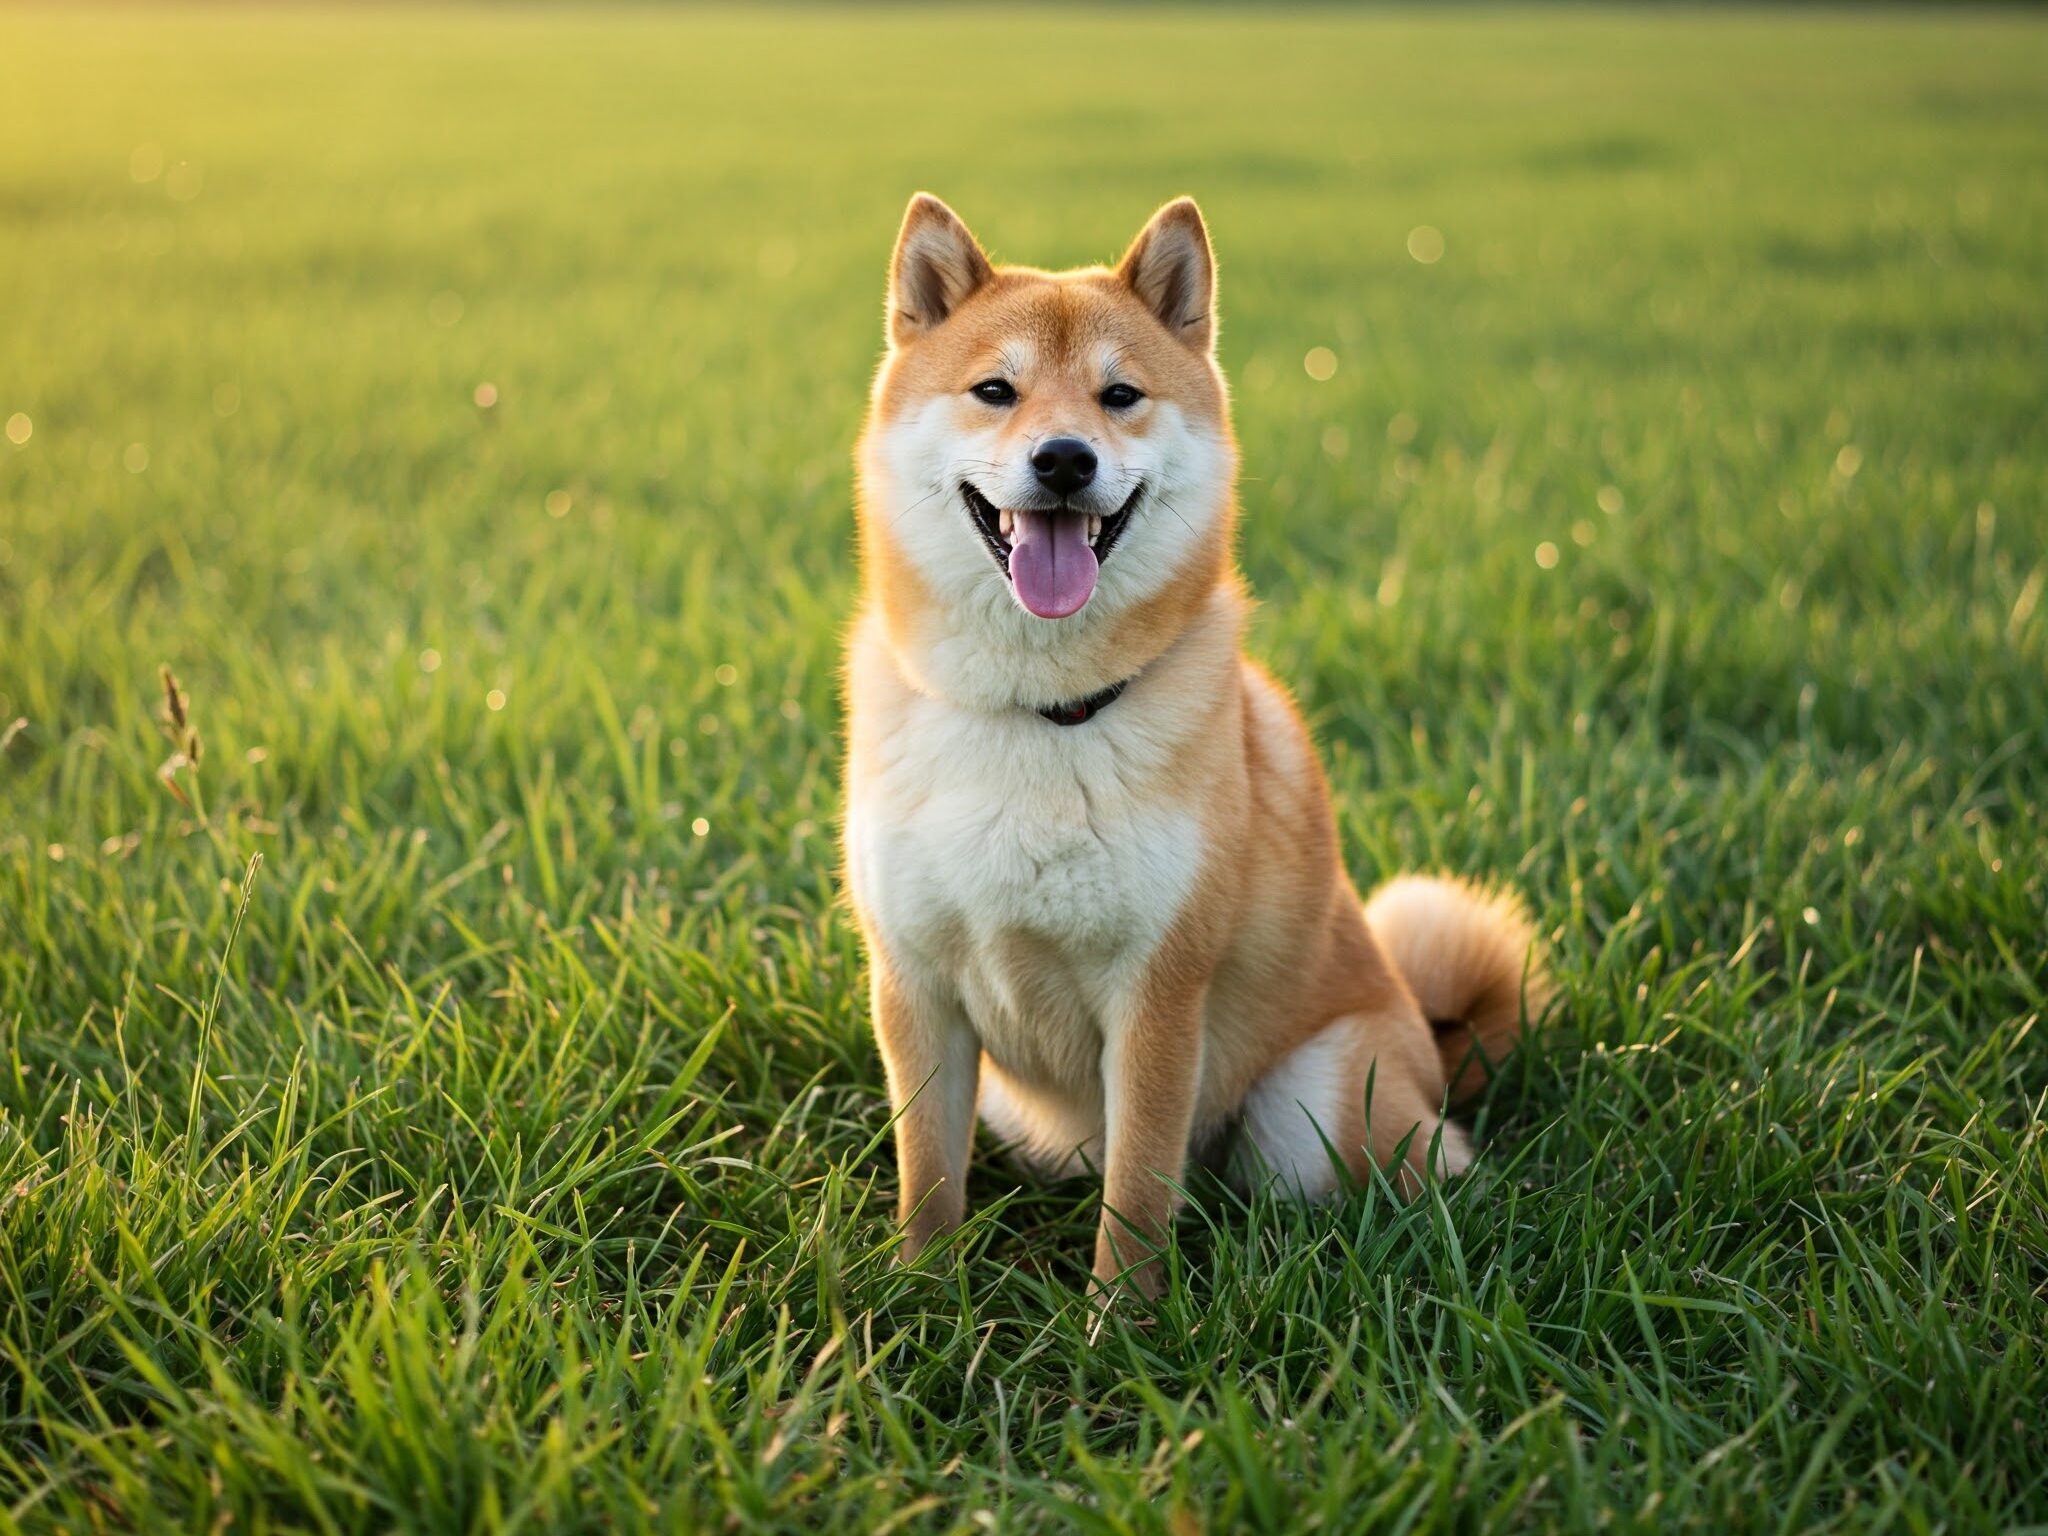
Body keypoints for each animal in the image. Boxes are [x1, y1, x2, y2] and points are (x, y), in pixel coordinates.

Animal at [839, 189, 1540, 1302]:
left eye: (1119, 395)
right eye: (995, 390)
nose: (1064, 458)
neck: (1043, 711)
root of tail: (1435, 1046)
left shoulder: (1159, 997)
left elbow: (1135, 1195)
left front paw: (1118, 1323)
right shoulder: (915, 988)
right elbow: (928, 1179)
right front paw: (919, 1298)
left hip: (1310, 1112)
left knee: (1389, 1180)